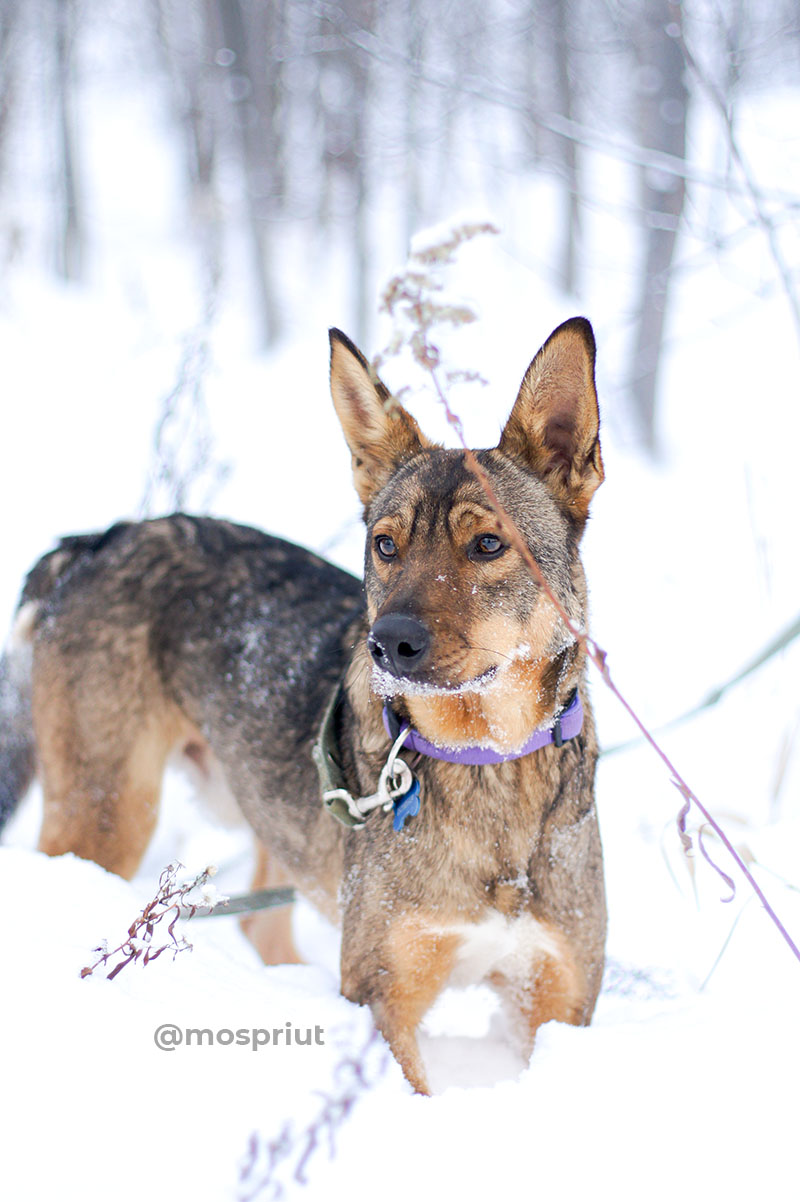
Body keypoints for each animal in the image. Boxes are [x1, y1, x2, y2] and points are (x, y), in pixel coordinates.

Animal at [0, 314, 605, 1096]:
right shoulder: (384, 1000)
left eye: (488, 544)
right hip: (105, 814)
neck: (485, 762)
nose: (386, 644)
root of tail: (100, 540)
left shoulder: (559, 1003)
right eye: (384, 546)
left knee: (259, 923)